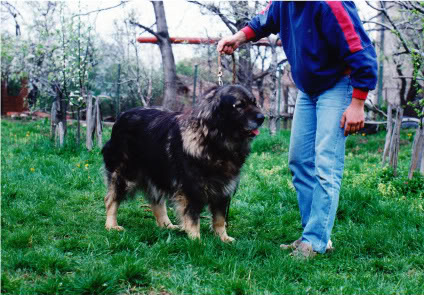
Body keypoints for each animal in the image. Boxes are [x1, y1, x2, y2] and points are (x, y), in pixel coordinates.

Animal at [101, 84, 264, 243]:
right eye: (239, 105)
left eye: (254, 102)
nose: (262, 117)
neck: (213, 141)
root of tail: (121, 116)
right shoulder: (191, 189)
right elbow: (193, 218)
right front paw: (196, 240)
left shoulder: (223, 189)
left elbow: (219, 218)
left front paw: (223, 238)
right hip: (125, 174)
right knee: (111, 199)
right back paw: (111, 225)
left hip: (157, 172)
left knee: (156, 202)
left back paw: (167, 225)